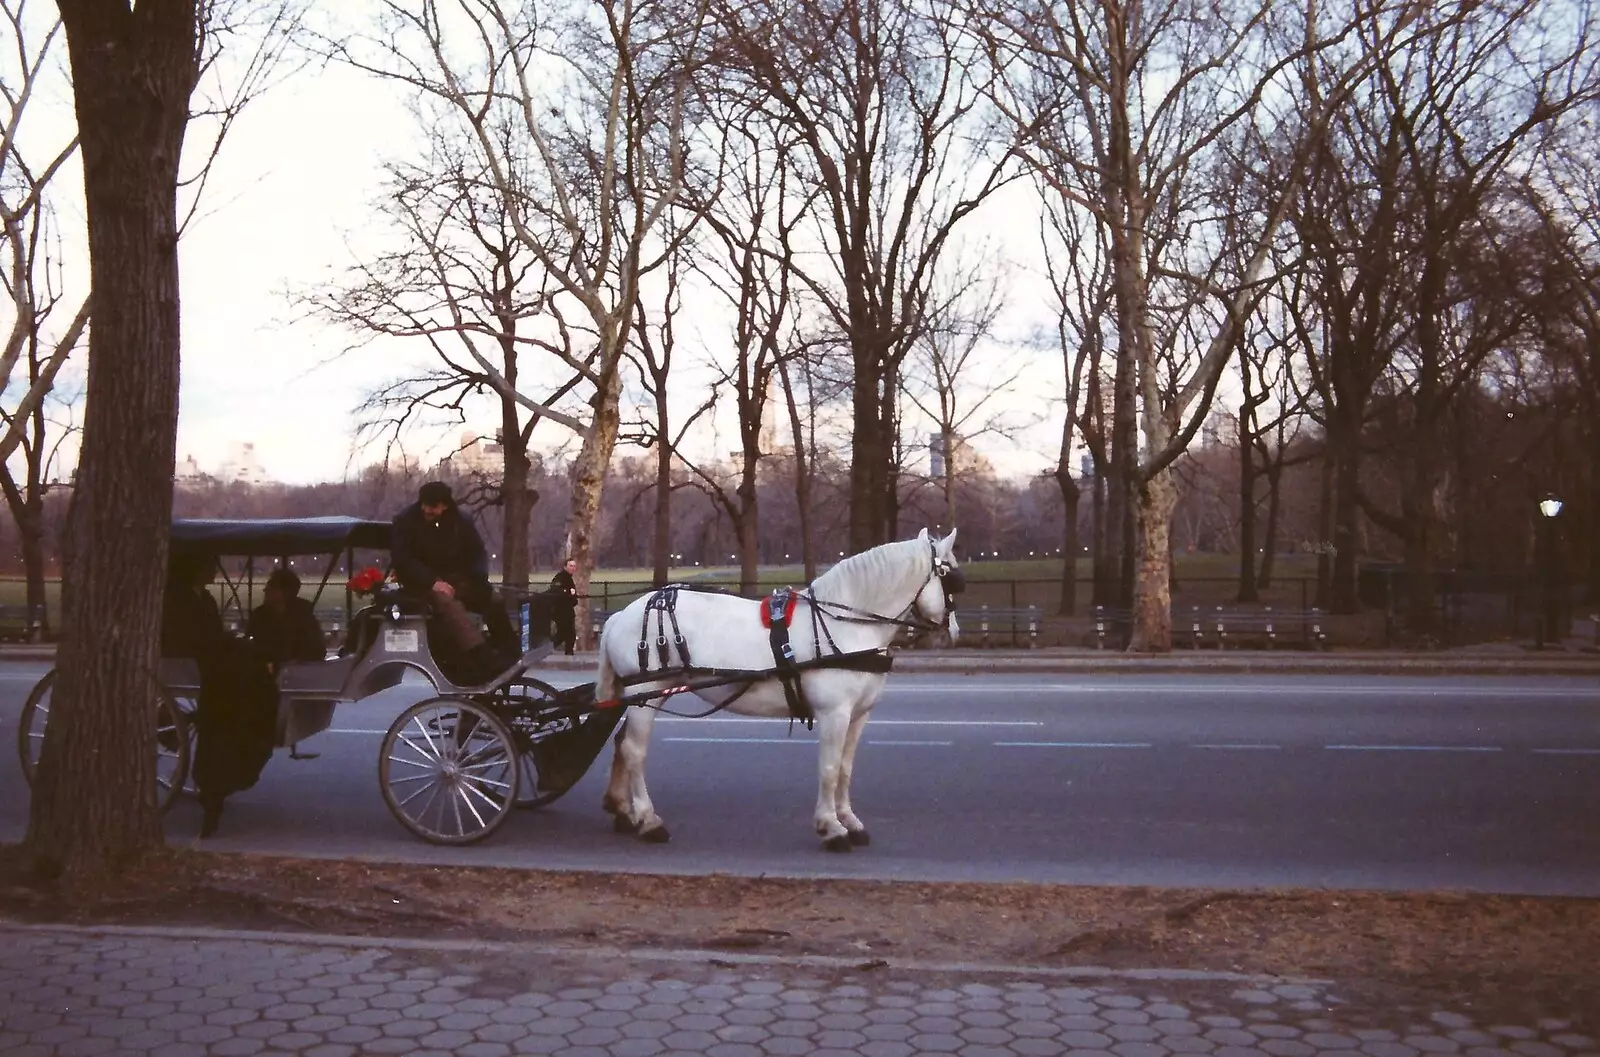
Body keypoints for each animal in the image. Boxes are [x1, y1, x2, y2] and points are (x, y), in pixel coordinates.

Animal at [595, 527, 953, 850]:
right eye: (949, 575)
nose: (953, 631)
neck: (843, 625)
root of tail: (620, 615)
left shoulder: (858, 715)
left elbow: (845, 769)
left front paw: (849, 820)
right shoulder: (834, 713)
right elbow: (829, 768)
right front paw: (831, 826)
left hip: (641, 697)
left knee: (622, 744)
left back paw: (624, 811)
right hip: (645, 693)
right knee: (635, 751)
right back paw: (648, 820)